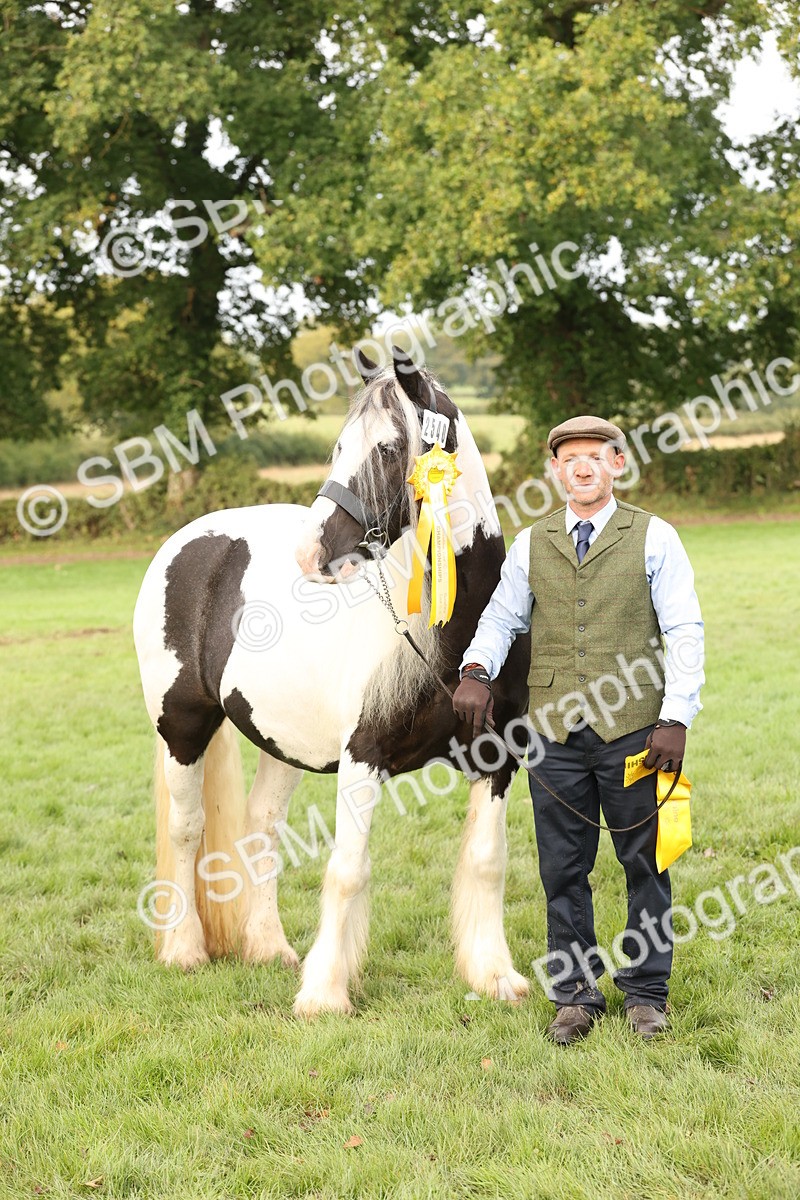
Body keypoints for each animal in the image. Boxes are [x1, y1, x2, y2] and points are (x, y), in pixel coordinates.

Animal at [133, 345, 531, 1016]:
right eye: (342, 445)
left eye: (390, 450)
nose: (309, 554)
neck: (455, 633)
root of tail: (191, 540)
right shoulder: (363, 757)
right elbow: (348, 868)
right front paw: (324, 994)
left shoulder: (496, 757)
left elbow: (486, 862)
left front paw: (495, 977)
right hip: (181, 726)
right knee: (187, 831)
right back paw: (185, 949)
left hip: (279, 740)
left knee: (262, 828)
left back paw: (268, 948)